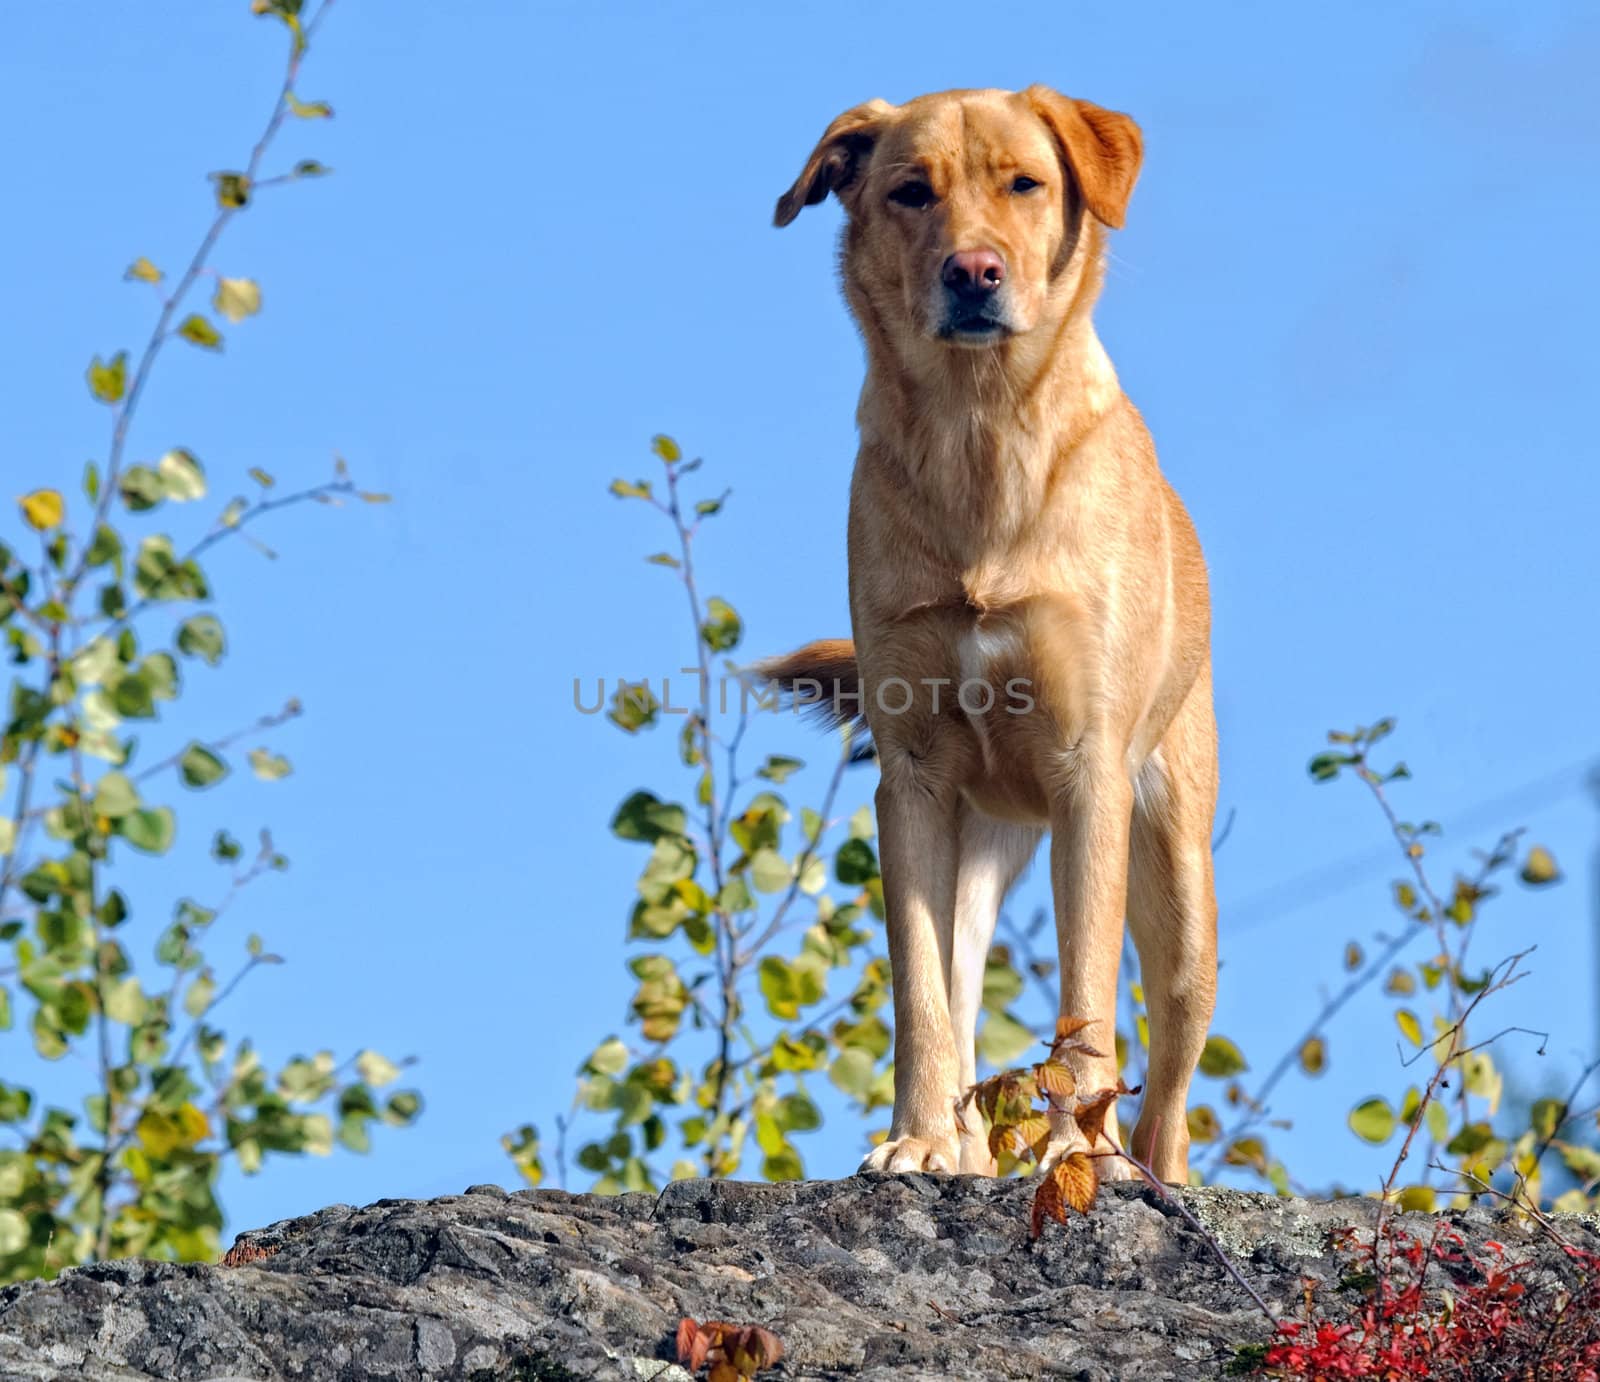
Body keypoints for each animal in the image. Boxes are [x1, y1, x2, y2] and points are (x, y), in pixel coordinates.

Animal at [761, 89, 1209, 1190]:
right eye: (910, 192)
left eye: (1025, 183)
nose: (973, 272)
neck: (980, 436)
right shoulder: (913, 778)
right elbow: (921, 995)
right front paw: (922, 1137)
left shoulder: (1087, 772)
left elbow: (1085, 1002)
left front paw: (1073, 1153)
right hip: (976, 842)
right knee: (959, 985)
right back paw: (959, 1142)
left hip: (1178, 893)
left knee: (1169, 1090)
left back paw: (1150, 1171)